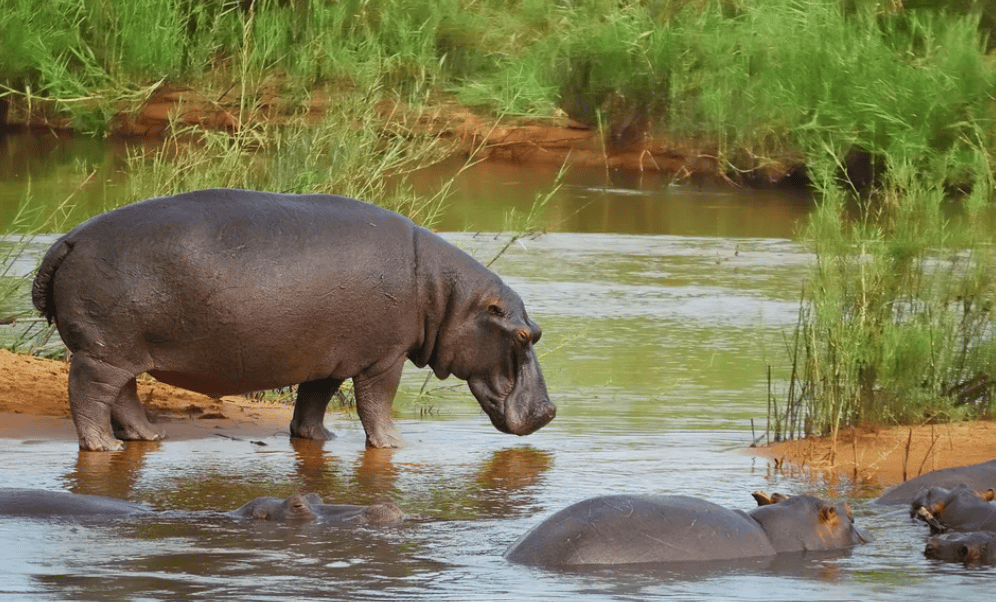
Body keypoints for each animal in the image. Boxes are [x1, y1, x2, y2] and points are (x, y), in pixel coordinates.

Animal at [31, 189, 555, 451]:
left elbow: (314, 400)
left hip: (121, 349)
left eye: (538, 331)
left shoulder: (330, 357)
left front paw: (319, 438)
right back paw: (102, 447)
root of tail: (68, 239)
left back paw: (148, 437)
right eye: (523, 334)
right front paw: (395, 446)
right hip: (104, 351)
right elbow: (377, 403)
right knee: (89, 394)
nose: (550, 412)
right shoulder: (383, 359)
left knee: (123, 395)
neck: (446, 297)